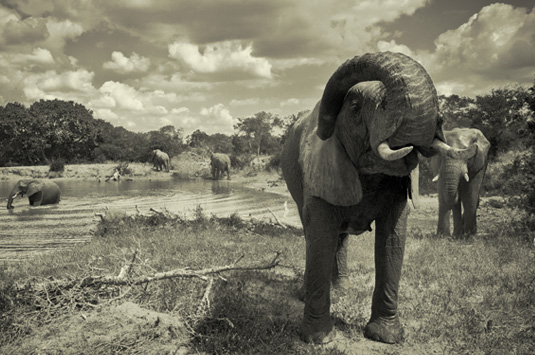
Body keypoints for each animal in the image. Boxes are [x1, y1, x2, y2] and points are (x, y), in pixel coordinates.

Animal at [280, 51, 478, 346]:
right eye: (355, 108)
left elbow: (392, 242)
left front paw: (386, 336)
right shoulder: (318, 168)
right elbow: (320, 238)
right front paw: (317, 338)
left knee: (341, 237)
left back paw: (342, 289)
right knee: (314, 234)